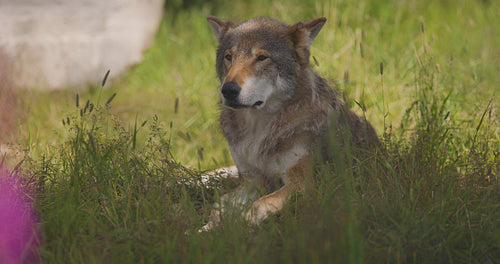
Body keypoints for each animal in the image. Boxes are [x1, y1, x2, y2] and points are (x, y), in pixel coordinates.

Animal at [199, 16, 378, 231]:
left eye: (262, 58)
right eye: (229, 57)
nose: (228, 90)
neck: (258, 131)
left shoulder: (302, 183)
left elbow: (257, 206)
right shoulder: (251, 182)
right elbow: (220, 208)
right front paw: (204, 230)